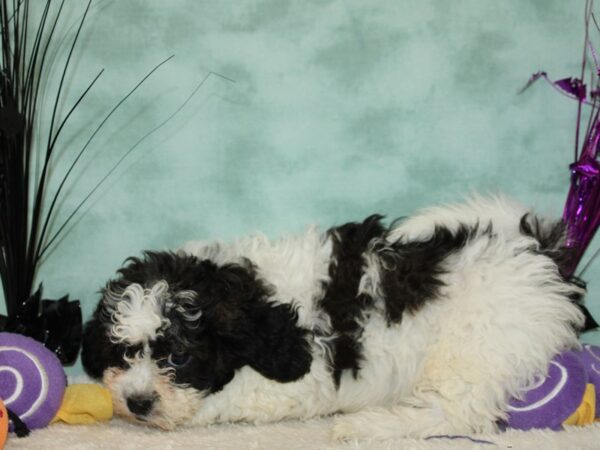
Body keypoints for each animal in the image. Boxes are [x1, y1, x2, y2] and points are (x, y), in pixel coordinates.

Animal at [81, 197, 592, 440]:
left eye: (180, 357)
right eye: (123, 353)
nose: (138, 403)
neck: (255, 299)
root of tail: (536, 251)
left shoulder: (297, 379)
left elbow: (226, 399)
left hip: (475, 344)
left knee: (460, 411)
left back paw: (369, 426)